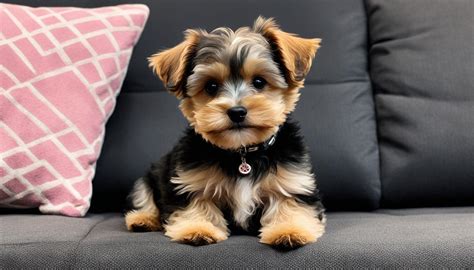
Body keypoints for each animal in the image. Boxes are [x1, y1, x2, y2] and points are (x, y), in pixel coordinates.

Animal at [125, 16, 326, 249]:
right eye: (211, 86)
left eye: (259, 81)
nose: (237, 111)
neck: (242, 152)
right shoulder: (190, 181)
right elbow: (198, 203)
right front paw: (198, 228)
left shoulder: (291, 180)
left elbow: (290, 203)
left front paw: (289, 230)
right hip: (149, 177)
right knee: (144, 197)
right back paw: (142, 220)